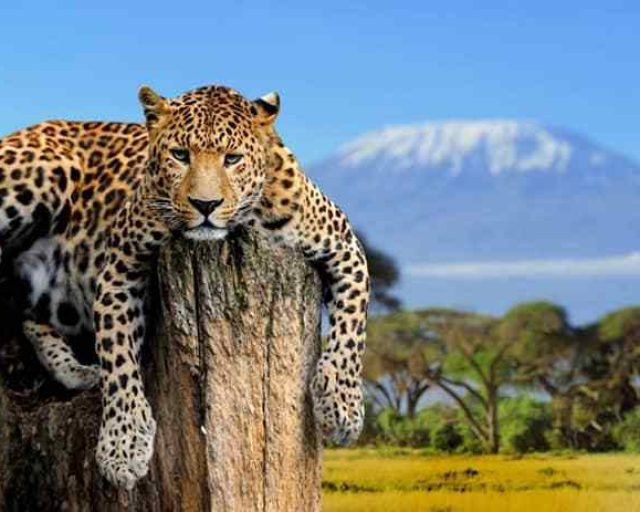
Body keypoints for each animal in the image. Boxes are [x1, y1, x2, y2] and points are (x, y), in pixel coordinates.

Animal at [0, 84, 369, 489]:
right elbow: (118, 357)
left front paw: (342, 406)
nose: (205, 204)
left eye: (232, 158)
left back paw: (78, 371)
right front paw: (123, 447)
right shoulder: (119, 267)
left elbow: (352, 330)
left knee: (29, 316)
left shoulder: (345, 247)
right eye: (180, 155)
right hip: (43, 175)